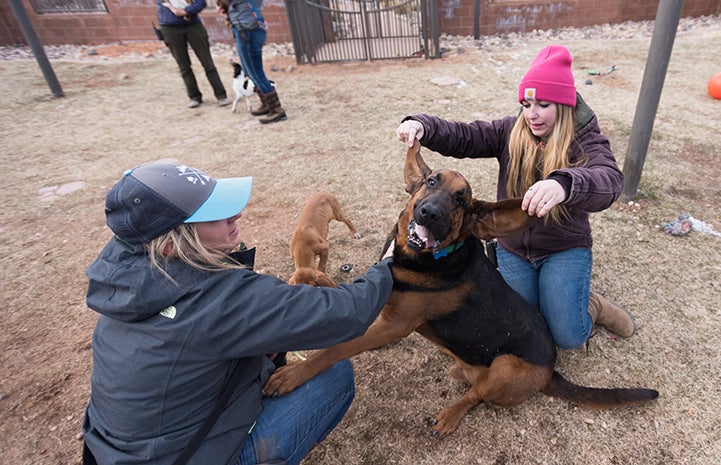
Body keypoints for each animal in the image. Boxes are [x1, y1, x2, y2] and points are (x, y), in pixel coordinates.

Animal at [266, 141, 660, 436]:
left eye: (460, 200)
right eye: (430, 182)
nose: (428, 213)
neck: (430, 258)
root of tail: (551, 370)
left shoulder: (395, 323)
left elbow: (337, 348)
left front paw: (294, 374)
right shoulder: (382, 308)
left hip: (505, 367)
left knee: (477, 395)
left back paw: (452, 413)